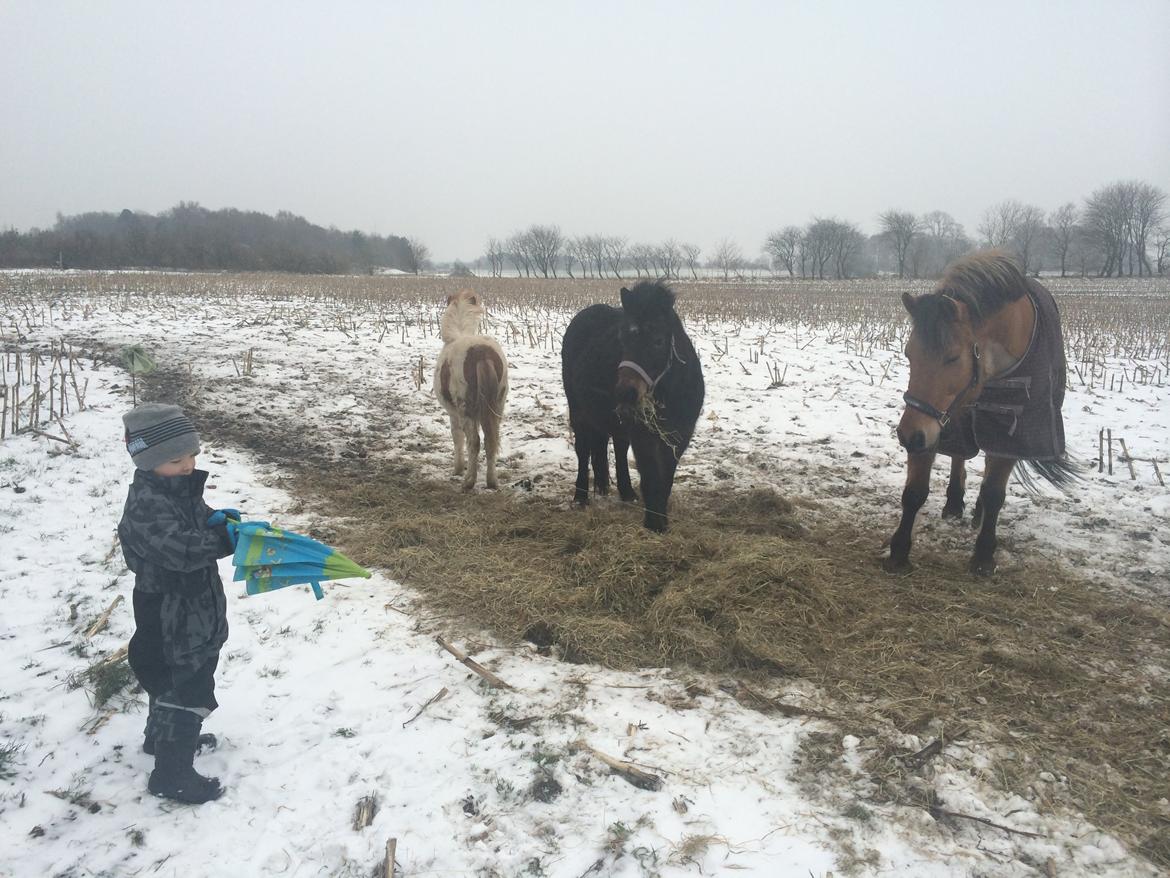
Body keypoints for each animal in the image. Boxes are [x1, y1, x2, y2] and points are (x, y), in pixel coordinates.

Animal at [435, 292, 507, 491]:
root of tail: (482, 352)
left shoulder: (453, 413)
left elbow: (457, 438)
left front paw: (458, 469)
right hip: (497, 407)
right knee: (491, 441)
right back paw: (492, 481)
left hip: (465, 410)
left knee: (474, 442)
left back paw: (469, 481)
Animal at [559, 282, 697, 533]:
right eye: (622, 340)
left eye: (658, 341)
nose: (625, 392)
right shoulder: (644, 437)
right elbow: (651, 475)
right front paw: (654, 523)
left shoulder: (678, 437)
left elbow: (666, 477)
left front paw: (661, 519)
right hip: (578, 411)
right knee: (583, 450)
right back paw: (581, 497)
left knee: (619, 448)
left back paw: (626, 492)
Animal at [889, 252, 1071, 578]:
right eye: (909, 354)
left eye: (952, 357)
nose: (908, 434)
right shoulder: (932, 424)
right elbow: (914, 491)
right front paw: (898, 551)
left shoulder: (1009, 432)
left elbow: (995, 493)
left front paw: (984, 556)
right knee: (959, 457)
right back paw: (954, 502)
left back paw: (977, 511)